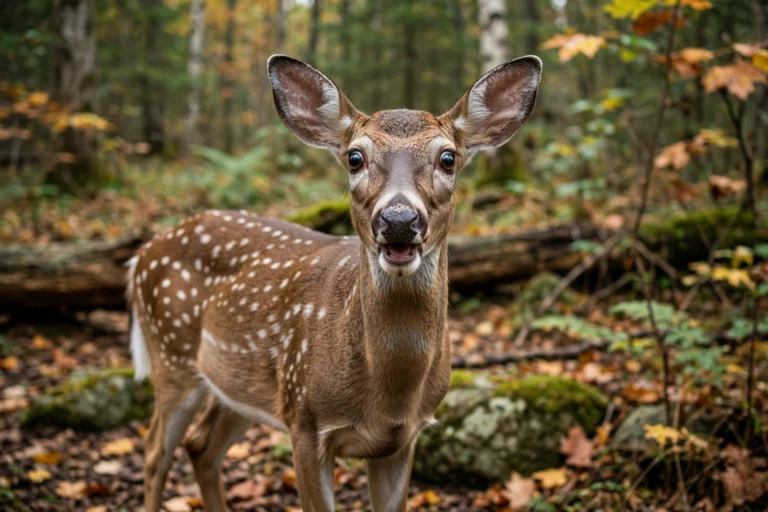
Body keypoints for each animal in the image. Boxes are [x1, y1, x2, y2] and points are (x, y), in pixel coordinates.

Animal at [127, 54, 541, 511]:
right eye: (355, 157)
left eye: (448, 158)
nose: (398, 219)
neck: (390, 395)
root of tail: (141, 254)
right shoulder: (306, 420)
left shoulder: (403, 440)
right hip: (172, 356)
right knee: (154, 451)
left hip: (239, 384)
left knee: (201, 446)